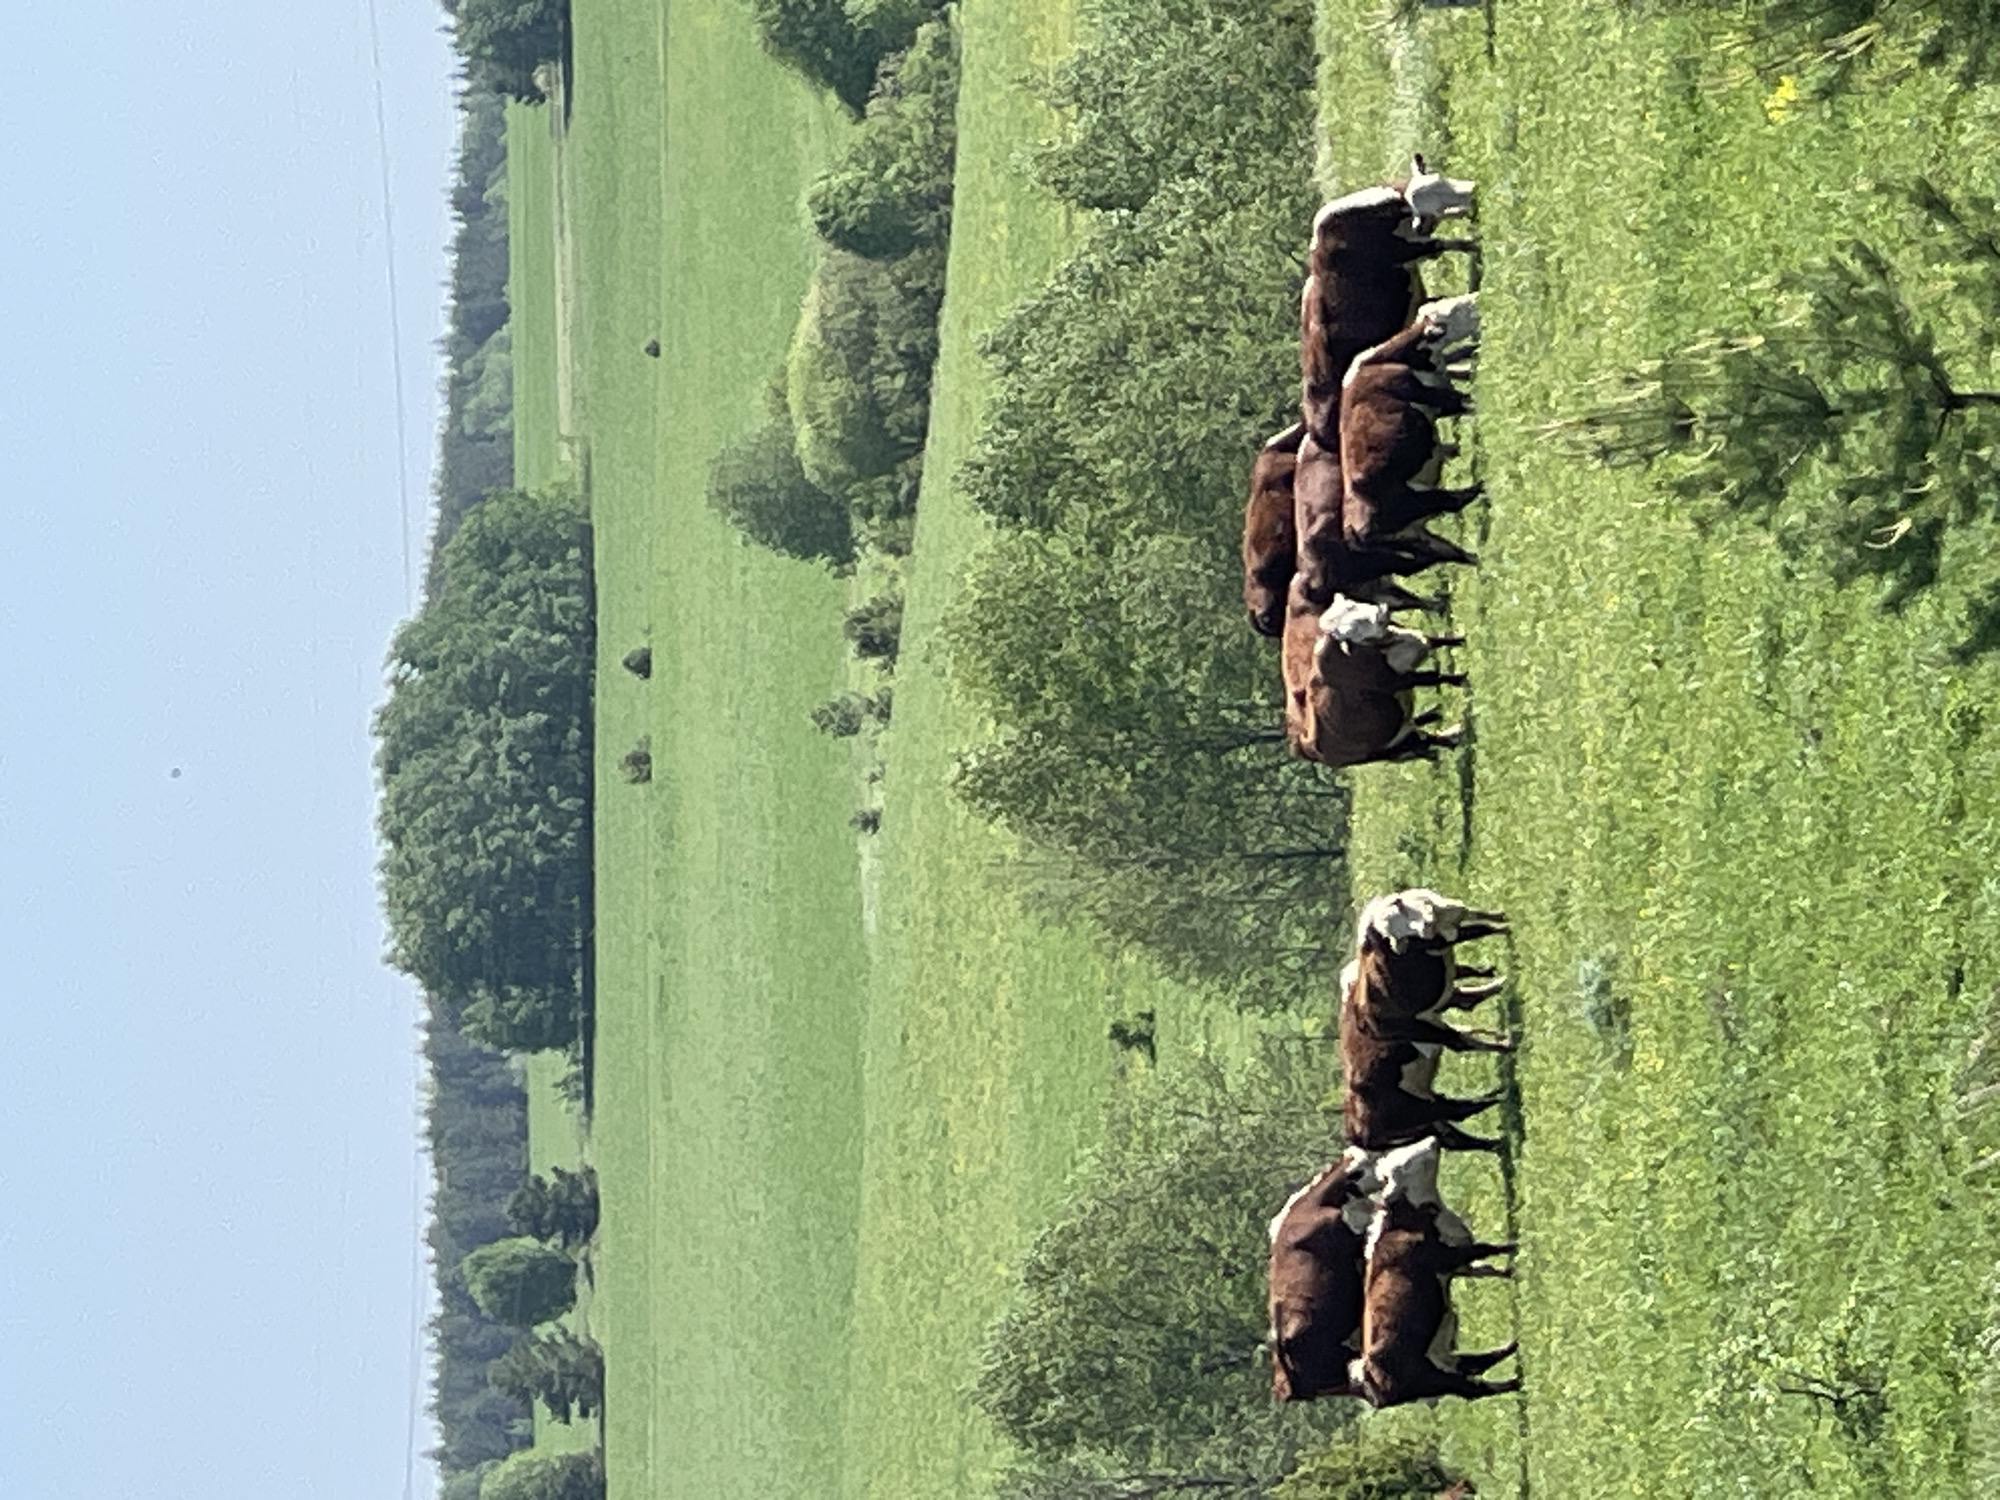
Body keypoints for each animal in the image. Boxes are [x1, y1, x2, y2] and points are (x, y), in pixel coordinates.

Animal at [1301, 157, 1477, 446]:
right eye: (1433, 201)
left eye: (1443, 180)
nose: (1473, 191)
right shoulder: (1410, 249)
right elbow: (1444, 243)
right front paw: (1477, 246)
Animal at [1341, 295, 1485, 550]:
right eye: (1454, 312)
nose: (1478, 298)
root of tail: (1351, 529)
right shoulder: (1434, 396)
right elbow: (1468, 402)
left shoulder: (1440, 401)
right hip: (1417, 500)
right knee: (1452, 500)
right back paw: (1481, 488)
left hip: (1419, 539)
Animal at [1351, 1196, 1519, 1408]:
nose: (1432, 1205)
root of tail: (1366, 1372)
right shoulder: (1448, 1257)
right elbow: (1483, 1249)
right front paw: (1515, 1245)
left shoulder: (1454, 1265)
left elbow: (1486, 1267)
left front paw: (1513, 1267)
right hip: (1432, 1378)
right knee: (1476, 1386)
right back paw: (1518, 1379)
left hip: (1441, 1361)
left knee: (1478, 1364)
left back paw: (1516, 1350)